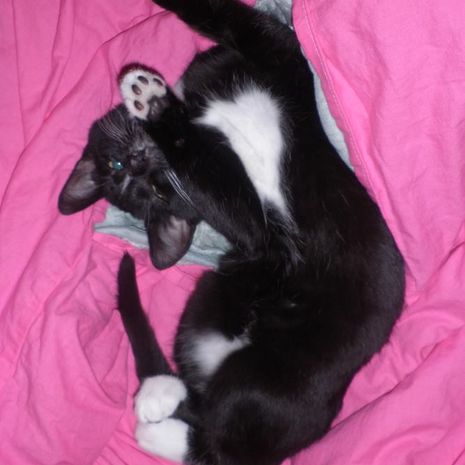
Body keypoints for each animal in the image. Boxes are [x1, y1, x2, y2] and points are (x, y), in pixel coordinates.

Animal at [62, 0, 406, 463]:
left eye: (154, 185)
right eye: (127, 176)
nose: (136, 161)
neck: (197, 109)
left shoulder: (278, 59)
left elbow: (236, 21)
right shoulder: (257, 229)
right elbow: (206, 162)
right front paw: (153, 103)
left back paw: (157, 401)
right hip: (253, 355)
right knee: (216, 439)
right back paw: (155, 409)